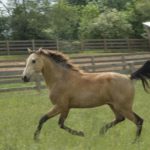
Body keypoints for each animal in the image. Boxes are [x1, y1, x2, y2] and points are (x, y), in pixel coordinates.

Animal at [21, 48, 150, 142]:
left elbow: (45, 119)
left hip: (124, 106)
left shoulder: (60, 106)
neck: (61, 79)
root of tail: (129, 77)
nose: (24, 78)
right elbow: (59, 123)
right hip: (113, 105)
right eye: (26, 61)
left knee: (138, 121)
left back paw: (134, 142)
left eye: (33, 61)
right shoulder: (66, 107)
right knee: (120, 118)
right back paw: (101, 132)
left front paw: (36, 139)